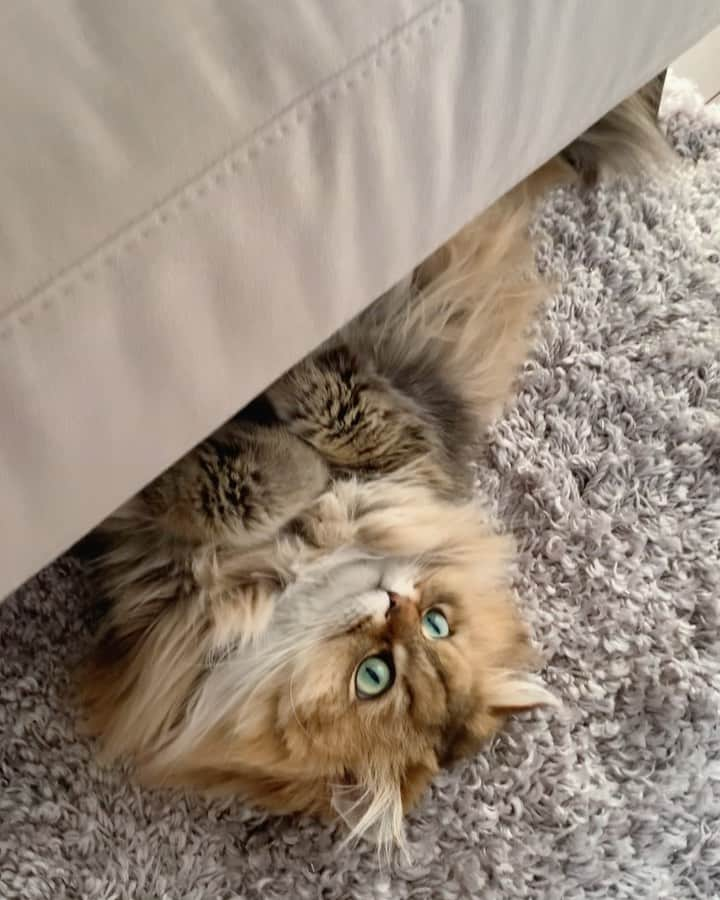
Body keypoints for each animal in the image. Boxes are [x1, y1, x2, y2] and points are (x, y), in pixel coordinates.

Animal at [79, 84, 668, 852]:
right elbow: (320, 437)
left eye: (376, 676)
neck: (309, 559)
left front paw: (279, 416)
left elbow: (260, 469)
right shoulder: (407, 448)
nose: (396, 603)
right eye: (440, 624)